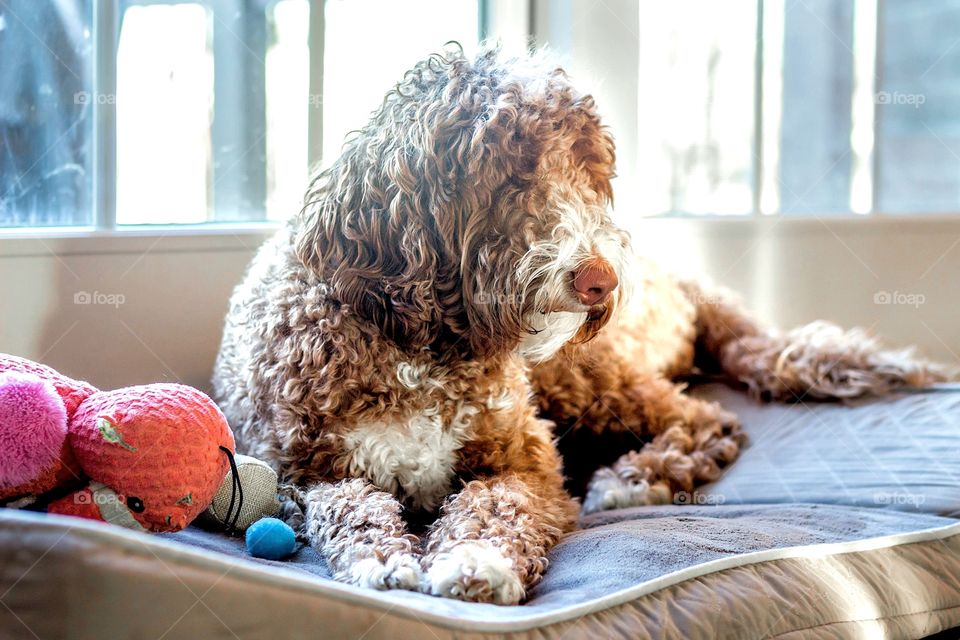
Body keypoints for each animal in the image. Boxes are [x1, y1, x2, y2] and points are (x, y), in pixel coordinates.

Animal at [212, 46, 952, 604]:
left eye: (588, 168)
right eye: (508, 171)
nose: (602, 278)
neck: (419, 344)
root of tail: (677, 276)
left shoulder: (525, 460)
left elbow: (500, 504)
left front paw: (477, 562)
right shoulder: (303, 471)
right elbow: (349, 506)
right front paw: (381, 558)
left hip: (583, 373)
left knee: (706, 420)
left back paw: (633, 478)